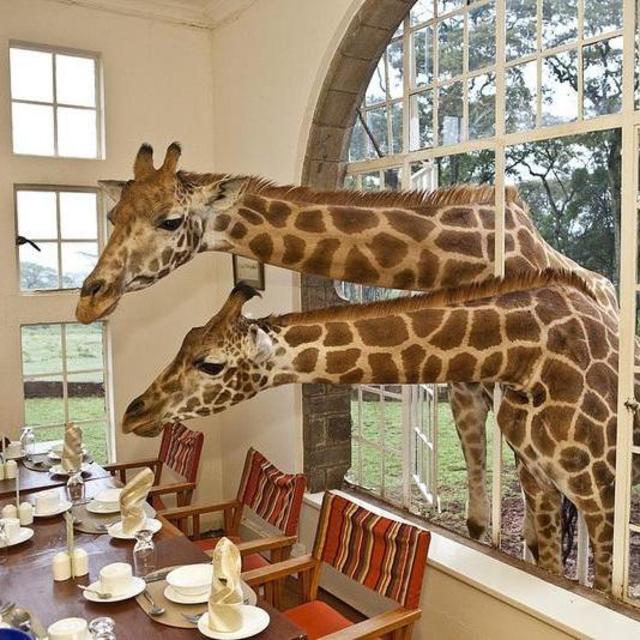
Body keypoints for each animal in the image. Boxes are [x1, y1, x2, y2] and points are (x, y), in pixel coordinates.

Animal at [76, 142, 621, 543]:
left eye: (170, 220)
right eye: (112, 216)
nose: (89, 300)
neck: (464, 255)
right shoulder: (465, 394)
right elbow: (479, 522)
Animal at [121, 273, 638, 593]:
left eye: (210, 363)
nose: (132, 412)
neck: (527, 355)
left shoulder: (603, 493)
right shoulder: (539, 480)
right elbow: (549, 563)